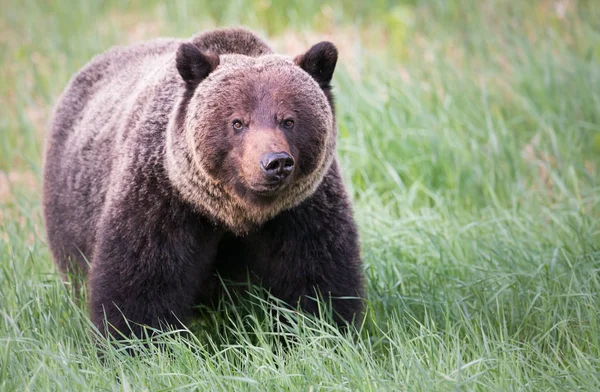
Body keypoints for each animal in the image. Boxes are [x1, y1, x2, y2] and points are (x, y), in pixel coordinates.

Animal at [42, 28, 364, 340]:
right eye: (237, 122)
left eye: (288, 120)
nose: (276, 163)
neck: (236, 213)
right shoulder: (161, 201)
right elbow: (139, 285)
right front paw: (134, 342)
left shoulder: (301, 211)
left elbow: (316, 279)